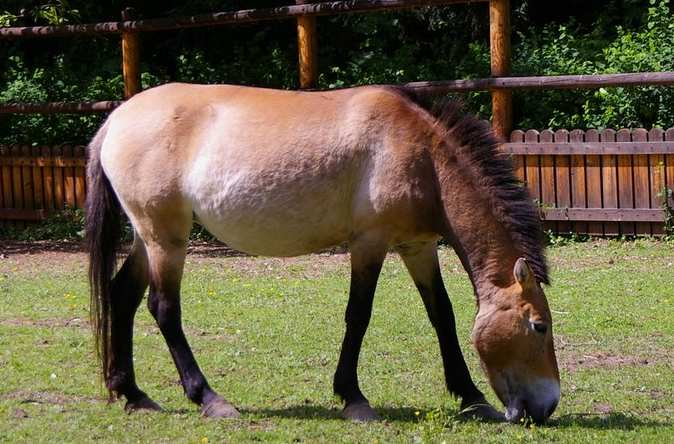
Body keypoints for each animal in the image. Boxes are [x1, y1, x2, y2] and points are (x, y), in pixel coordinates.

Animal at [85, 81, 556, 424]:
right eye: (539, 326)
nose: (547, 406)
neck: (421, 153)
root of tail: (115, 121)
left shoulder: (417, 246)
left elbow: (442, 314)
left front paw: (471, 397)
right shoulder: (369, 242)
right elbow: (358, 315)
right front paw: (354, 398)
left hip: (148, 239)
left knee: (122, 296)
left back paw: (132, 393)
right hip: (166, 239)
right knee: (164, 309)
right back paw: (209, 399)